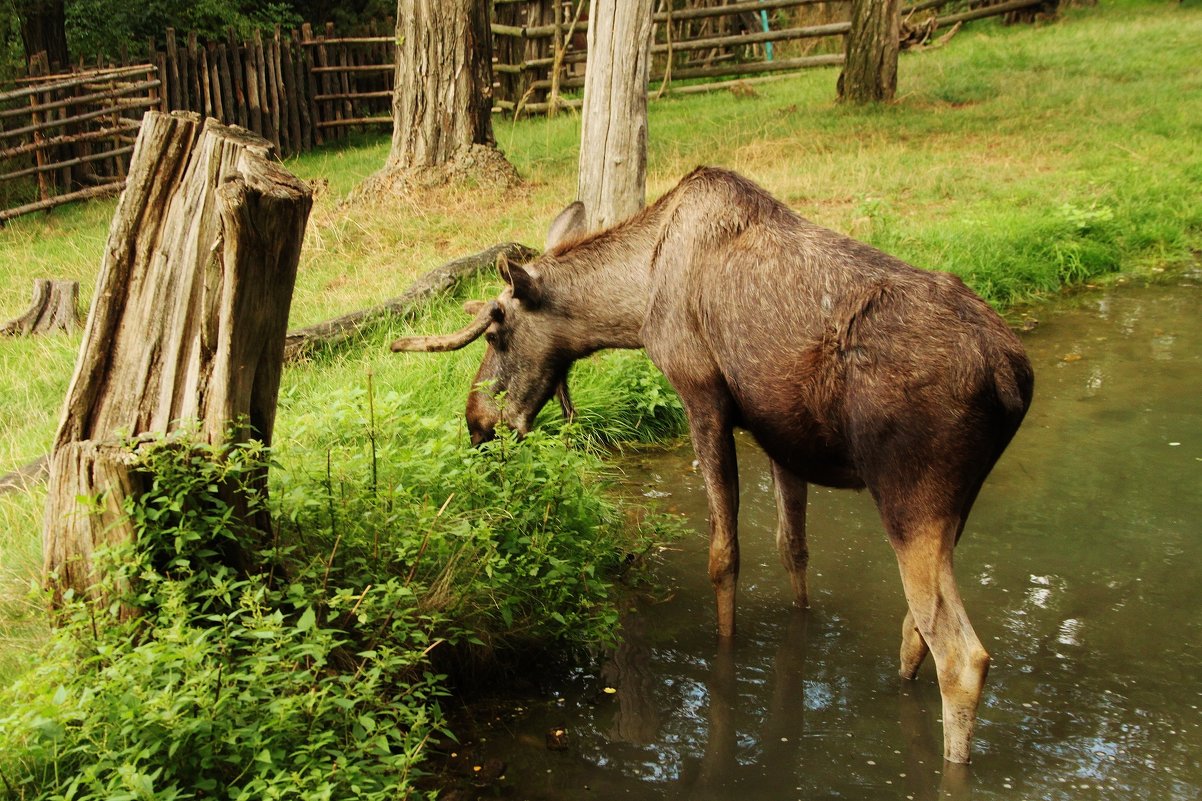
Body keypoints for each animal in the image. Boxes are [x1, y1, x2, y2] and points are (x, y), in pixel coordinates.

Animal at [394, 164, 1033, 760]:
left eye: (496, 331)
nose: (477, 423)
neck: (637, 301)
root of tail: (1012, 375)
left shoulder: (701, 394)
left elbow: (724, 557)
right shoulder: (781, 437)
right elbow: (793, 549)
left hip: (909, 495)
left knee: (963, 656)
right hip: (956, 503)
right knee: (914, 629)